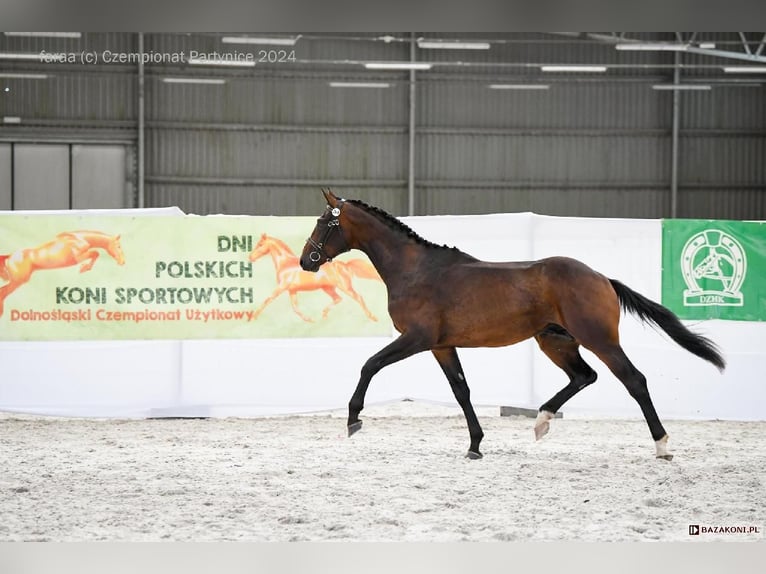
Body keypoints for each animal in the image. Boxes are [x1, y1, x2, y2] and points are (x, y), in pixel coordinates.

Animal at [248, 233, 382, 323]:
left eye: (260, 244)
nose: (250, 257)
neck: (285, 264)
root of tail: (344, 265)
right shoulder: (292, 290)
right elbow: (295, 308)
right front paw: (310, 320)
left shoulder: (281, 287)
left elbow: (267, 300)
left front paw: (253, 317)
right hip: (328, 288)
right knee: (338, 299)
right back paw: (324, 315)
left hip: (345, 287)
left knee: (358, 298)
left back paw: (373, 317)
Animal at [299, 189, 725, 460]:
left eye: (323, 222)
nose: (307, 260)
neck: (415, 270)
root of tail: (602, 278)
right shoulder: (441, 345)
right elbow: (462, 391)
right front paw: (475, 445)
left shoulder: (416, 338)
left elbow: (370, 364)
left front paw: (353, 420)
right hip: (555, 341)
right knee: (584, 377)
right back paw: (541, 422)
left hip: (599, 340)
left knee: (634, 380)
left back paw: (662, 446)